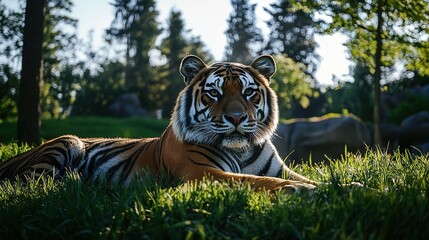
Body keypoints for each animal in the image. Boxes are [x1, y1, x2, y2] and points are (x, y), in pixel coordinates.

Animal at [0, 54, 318, 193]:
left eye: (248, 92)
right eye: (214, 93)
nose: (237, 118)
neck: (242, 149)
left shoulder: (282, 169)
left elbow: (301, 177)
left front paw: (329, 187)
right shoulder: (201, 172)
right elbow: (255, 181)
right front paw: (306, 191)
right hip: (67, 142)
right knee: (24, 186)